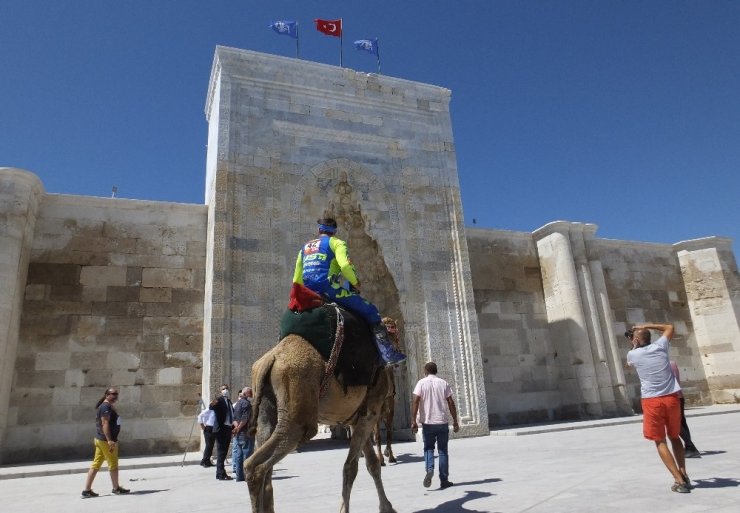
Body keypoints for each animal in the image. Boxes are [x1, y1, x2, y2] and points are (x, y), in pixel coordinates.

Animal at [247, 318, 398, 510]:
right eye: (395, 333)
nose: (397, 358)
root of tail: (271, 359)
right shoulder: (371, 412)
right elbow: (351, 467)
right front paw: (345, 509)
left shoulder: (357, 418)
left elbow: (371, 464)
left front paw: (387, 507)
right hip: (298, 410)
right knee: (257, 465)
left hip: (266, 409)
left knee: (266, 465)